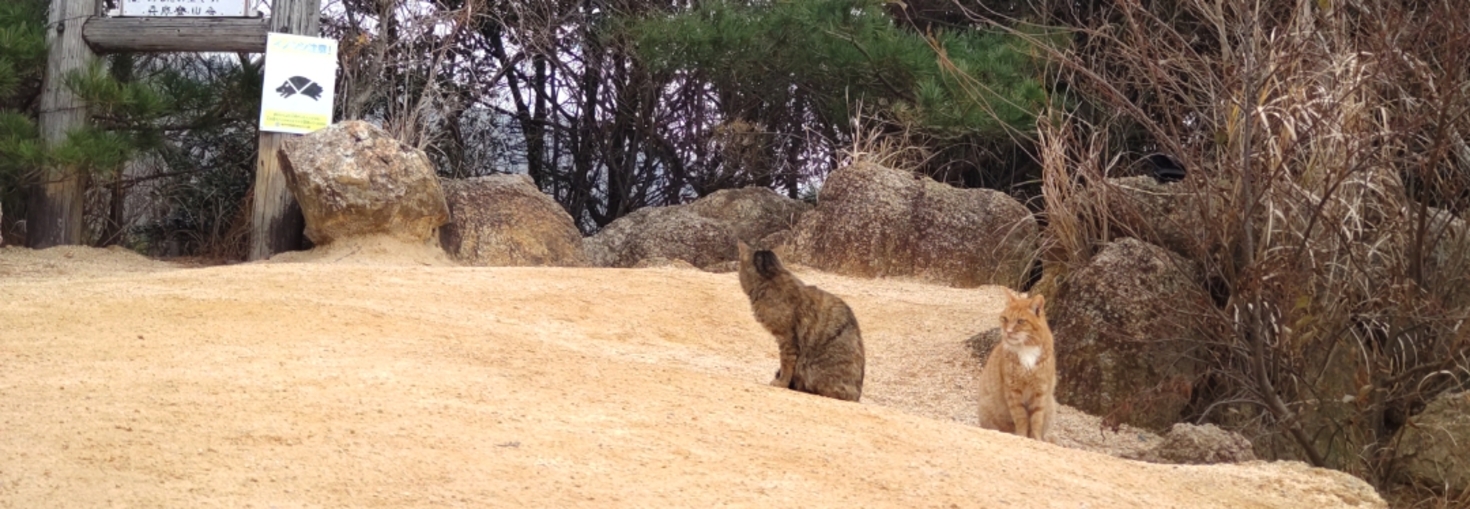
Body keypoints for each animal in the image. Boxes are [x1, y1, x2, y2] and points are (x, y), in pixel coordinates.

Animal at [976, 289, 1058, 441]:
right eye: (1004, 319)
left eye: (1020, 321)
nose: (1007, 331)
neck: (1026, 349)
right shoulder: (1013, 390)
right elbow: (1021, 418)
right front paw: (1021, 436)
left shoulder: (1040, 390)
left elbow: (1036, 419)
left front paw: (1036, 438)